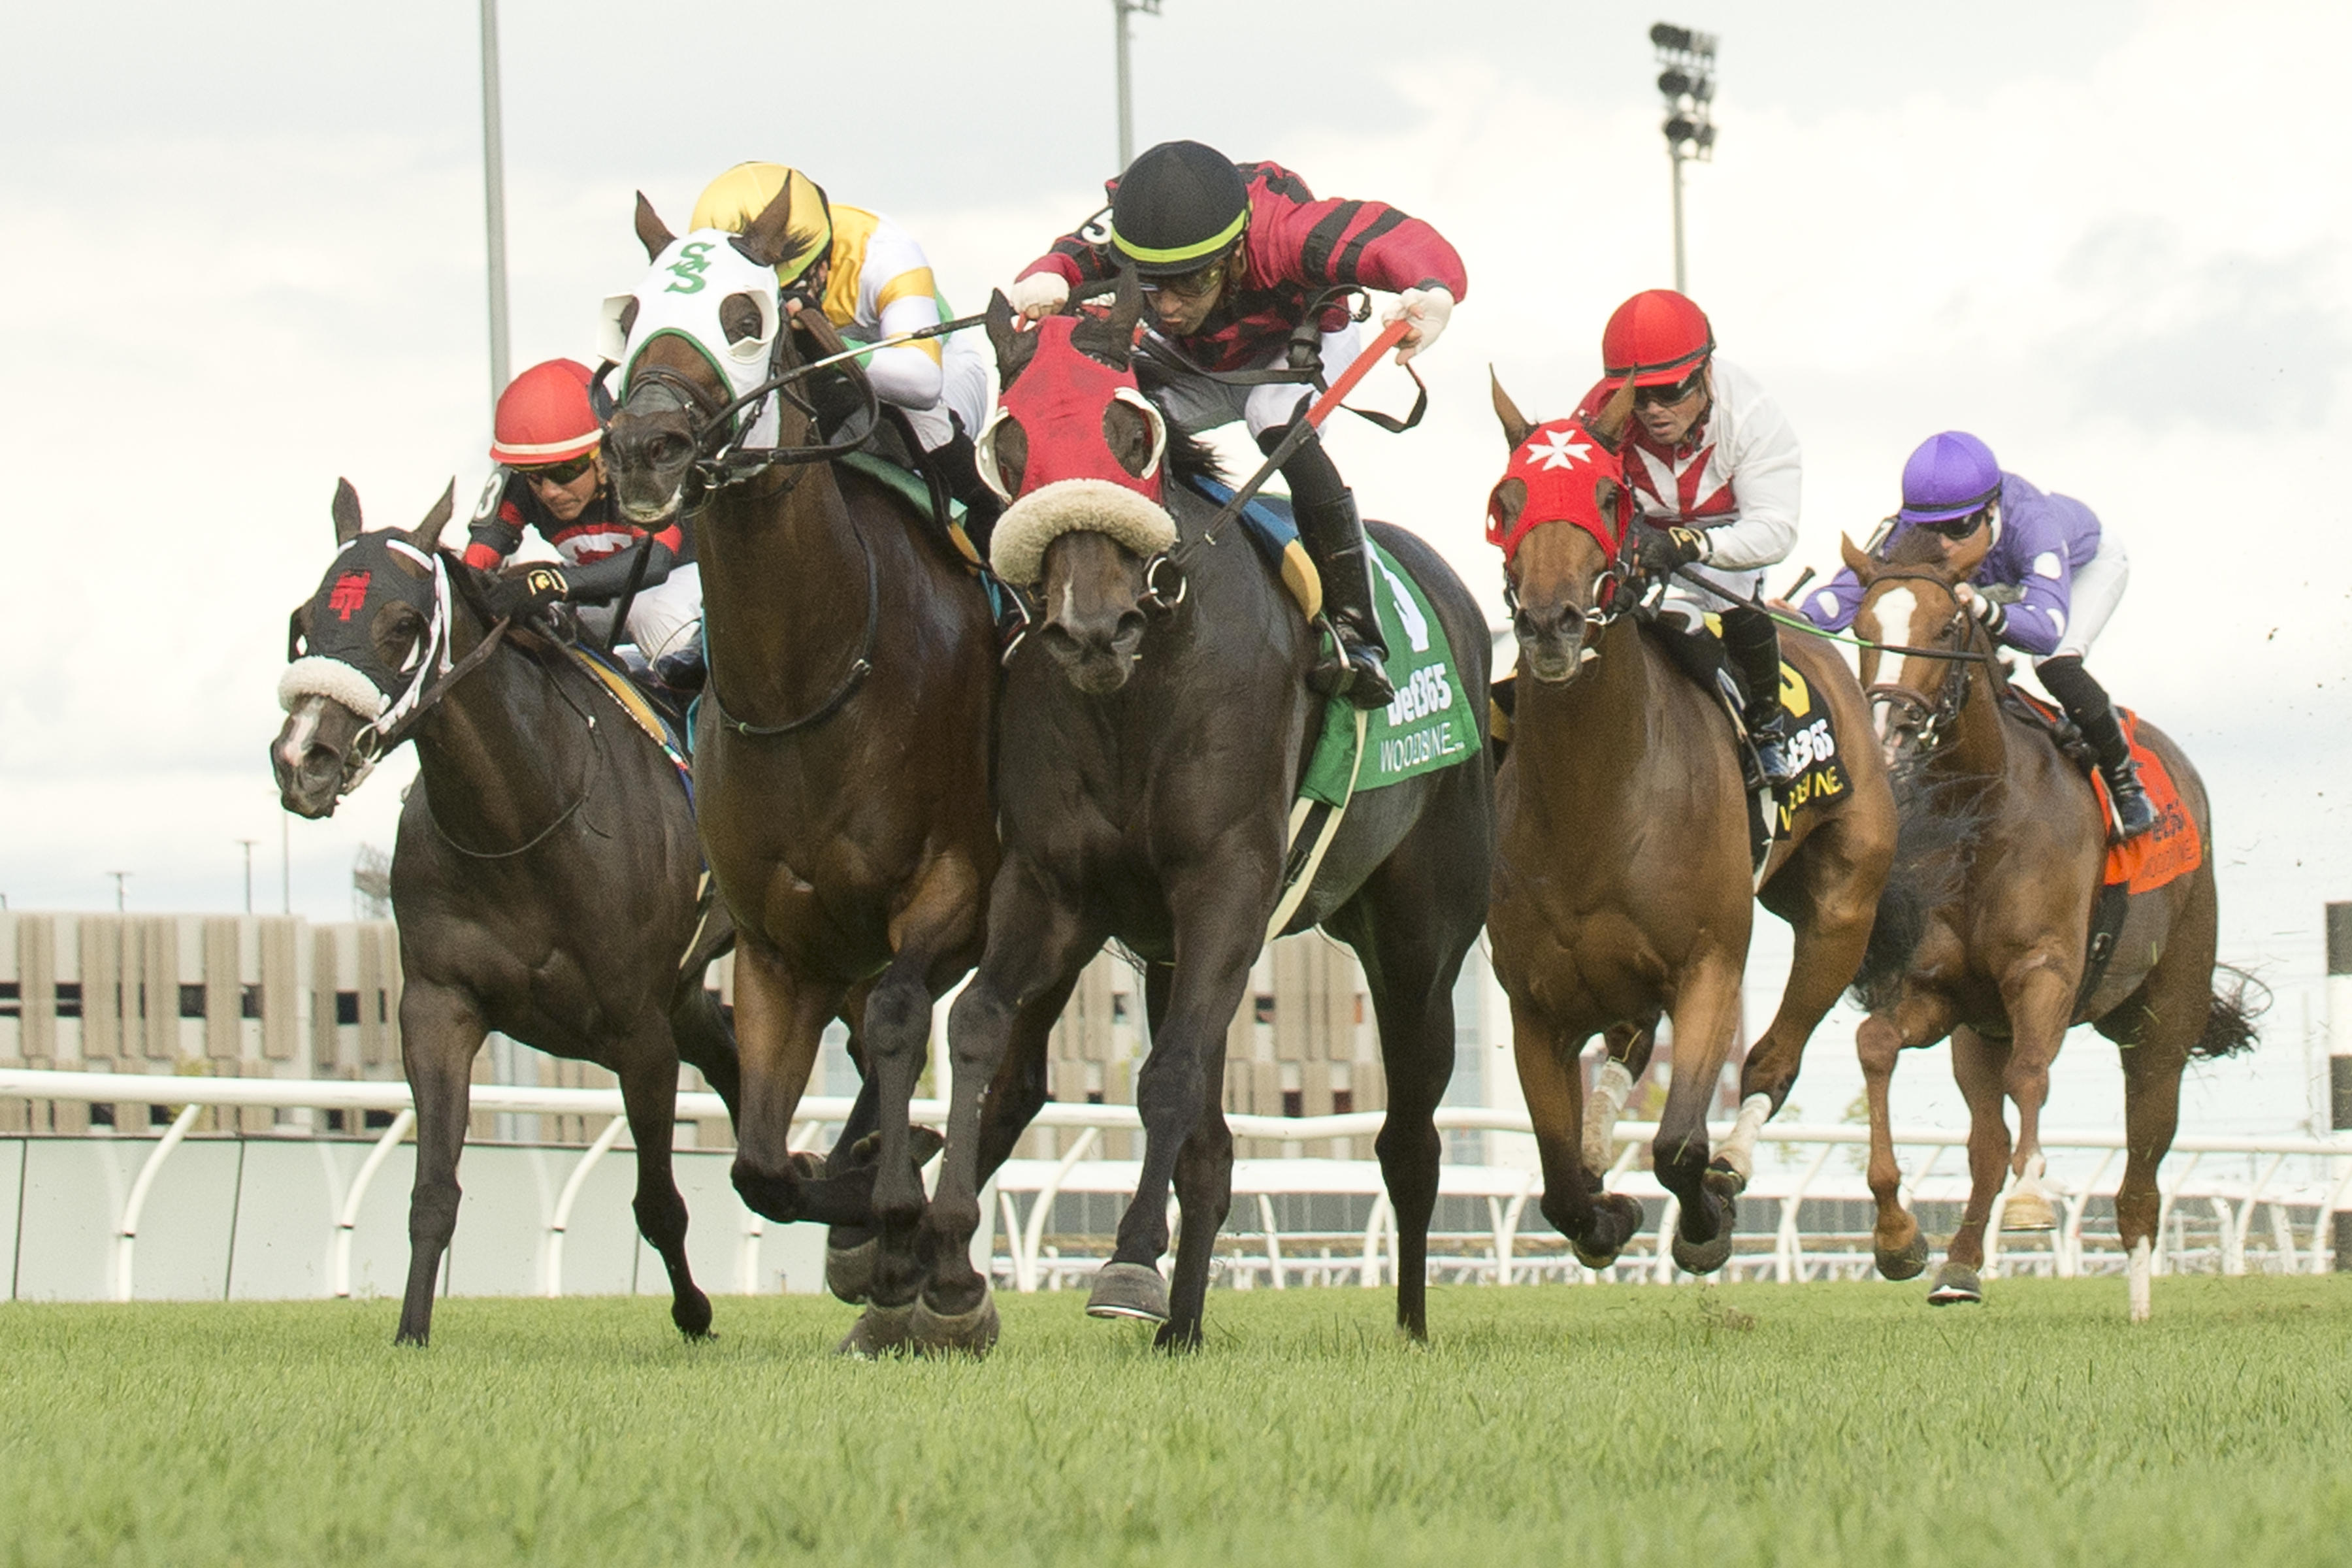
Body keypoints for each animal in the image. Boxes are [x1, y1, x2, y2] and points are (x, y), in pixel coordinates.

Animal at [270, 482, 738, 1354]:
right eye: (304, 621)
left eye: (403, 625)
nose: (301, 759)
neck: (524, 820)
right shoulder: (438, 1007)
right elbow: (432, 1192)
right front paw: (411, 1333)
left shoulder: (638, 1032)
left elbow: (659, 1203)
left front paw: (694, 1312)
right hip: (686, 991)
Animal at [597, 193, 1068, 1354]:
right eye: (631, 315)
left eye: (745, 315)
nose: (645, 449)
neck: (806, 679)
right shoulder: (776, 945)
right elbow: (762, 1167)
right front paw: (859, 1210)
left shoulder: (952, 890)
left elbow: (903, 1026)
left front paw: (895, 1213)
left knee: (988, 1057)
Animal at [917, 282, 1486, 1354]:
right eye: (1009, 443)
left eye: (1132, 432)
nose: (1092, 627)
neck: (1135, 696)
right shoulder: (1056, 886)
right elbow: (977, 1025)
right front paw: (940, 1268)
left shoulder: (1226, 882)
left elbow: (1169, 1076)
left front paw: (1128, 1265)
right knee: (1216, 1154)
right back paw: (1182, 1331)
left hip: (1419, 943)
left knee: (1410, 1140)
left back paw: (1411, 1324)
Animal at [1477, 376, 1900, 1279]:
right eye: (1507, 499)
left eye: (1609, 495)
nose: (1552, 624)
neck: (1598, 800)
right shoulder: (1535, 1005)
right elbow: (1559, 1186)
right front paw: (1604, 1210)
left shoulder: (1710, 965)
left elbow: (1677, 1146)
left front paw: (1705, 1220)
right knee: (1630, 1050)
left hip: (1842, 909)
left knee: (1774, 1056)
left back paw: (1738, 1166)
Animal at [1835, 526, 2239, 1316]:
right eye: (1863, 629)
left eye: (1946, 628)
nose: (1889, 729)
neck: (1987, 810)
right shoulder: (1943, 991)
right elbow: (1875, 1045)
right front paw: (1897, 1237)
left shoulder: (2046, 970)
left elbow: (2032, 1073)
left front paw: (2032, 1199)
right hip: (1977, 1036)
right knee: (1985, 1143)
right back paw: (1959, 1268)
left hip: (2165, 1014)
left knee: (2145, 1152)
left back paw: (2138, 1295)